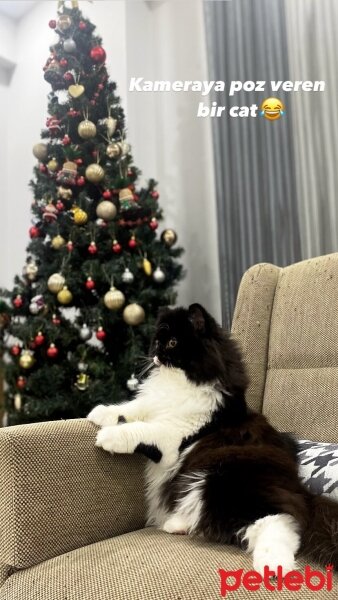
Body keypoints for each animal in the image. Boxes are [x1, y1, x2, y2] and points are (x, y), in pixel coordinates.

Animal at [87, 302, 338, 576]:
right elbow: (129, 409)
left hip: (224, 481)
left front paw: (106, 437)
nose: (155, 354)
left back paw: (273, 565)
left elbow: (140, 429)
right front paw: (98, 413)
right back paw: (176, 525)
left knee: (279, 521)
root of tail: (300, 489)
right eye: (157, 340)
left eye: (173, 342)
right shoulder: (152, 406)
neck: (178, 384)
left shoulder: (172, 436)